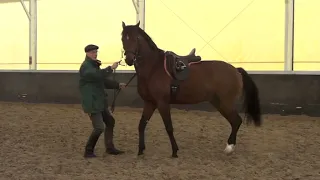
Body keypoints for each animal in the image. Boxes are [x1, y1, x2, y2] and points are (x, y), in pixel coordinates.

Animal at [120, 21, 262, 158]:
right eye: (123, 38)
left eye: (136, 38)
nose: (129, 59)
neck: (153, 68)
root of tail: (236, 70)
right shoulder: (150, 103)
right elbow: (142, 124)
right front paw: (140, 150)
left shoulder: (162, 103)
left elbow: (169, 127)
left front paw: (175, 151)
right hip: (218, 103)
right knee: (234, 121)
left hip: (225, 103)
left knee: (236, 121)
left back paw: (229, 148)